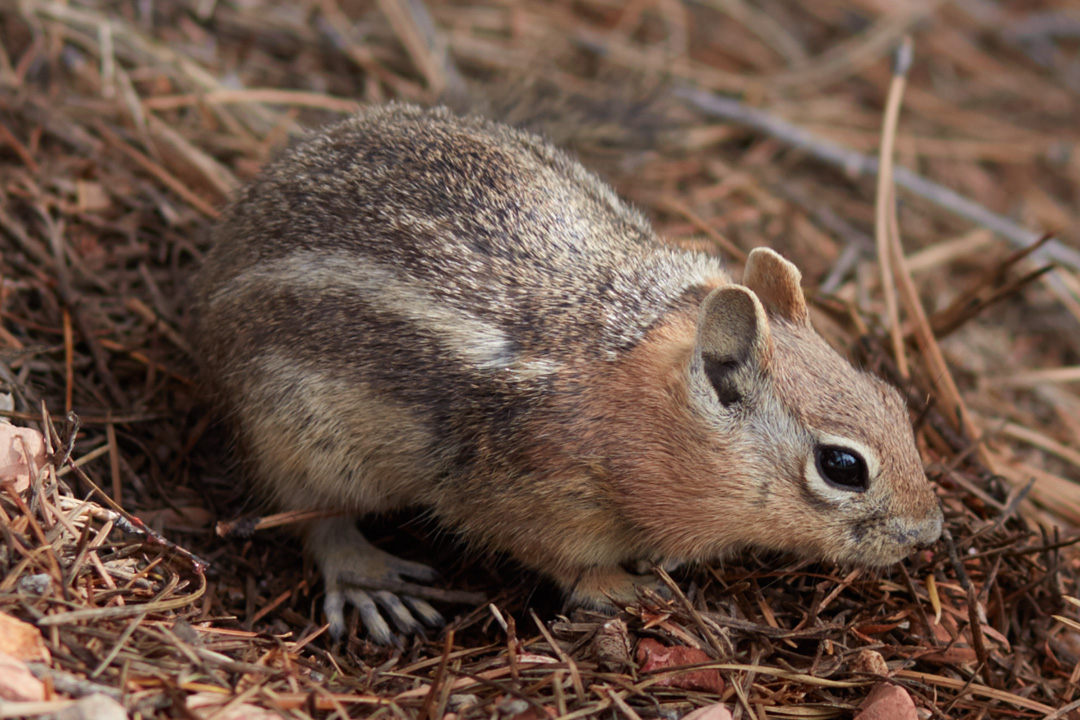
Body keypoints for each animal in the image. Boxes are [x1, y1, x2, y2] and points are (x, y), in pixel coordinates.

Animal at [196, 101, 946, 643]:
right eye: (843, 466)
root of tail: (232, 235)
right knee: (309, 517)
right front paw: (625, 588)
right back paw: (367, 577)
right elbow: (566, 561)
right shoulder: (529, 498)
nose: (928, 532)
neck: (649, 415)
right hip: (296, 433)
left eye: (893, 398)